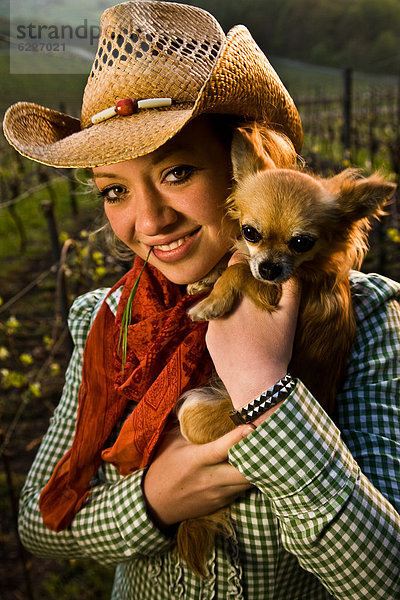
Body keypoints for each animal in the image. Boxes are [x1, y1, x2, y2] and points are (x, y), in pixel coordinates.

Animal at [173, 130, 396, 576]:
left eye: (301, 242)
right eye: (250, 232)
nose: (271, 268)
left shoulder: (272, 296)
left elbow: (238, 270)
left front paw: (213, 301)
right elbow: (233, 260)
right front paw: (204, 280)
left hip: (196, 412)